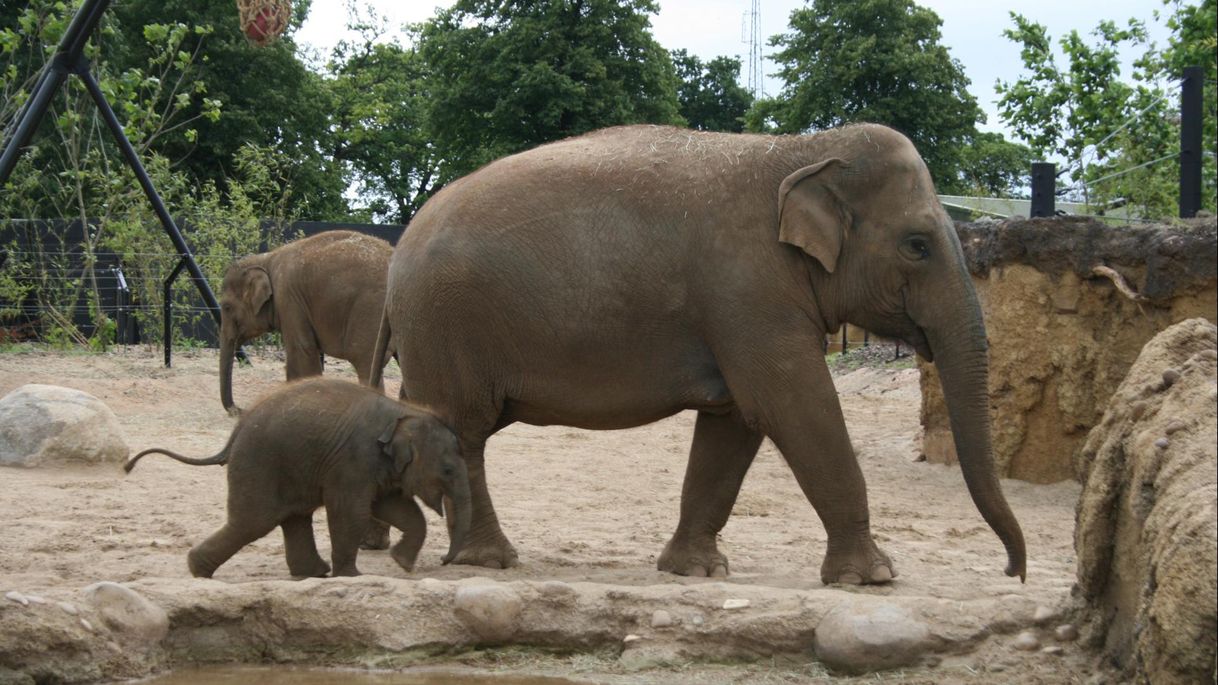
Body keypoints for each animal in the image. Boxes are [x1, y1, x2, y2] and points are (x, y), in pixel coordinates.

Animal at [126, 375, 470, 577]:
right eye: (448, 470)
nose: (444, 561)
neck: (403, 412)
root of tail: (235, 433)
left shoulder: (376, 467)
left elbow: (395, 508)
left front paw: (402, 563)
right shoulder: (353, 461)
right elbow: (352, 512)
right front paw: (352, 577)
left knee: (292, 517)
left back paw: (313, 573)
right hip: (259, 464)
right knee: (252, 522)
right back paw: (198, 570)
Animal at [218, 229, 389, 414]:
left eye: (226, 307)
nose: (238, 409)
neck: (266, 259)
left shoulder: (288, 299)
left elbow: (301, 351)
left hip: (370, 311)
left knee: (366, 363)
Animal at [370, 122, 1027, 580]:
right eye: (918, 245)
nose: (1013, 572)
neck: (800, 150)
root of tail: (399, 251)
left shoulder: (742, 309)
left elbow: (734, 423)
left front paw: (695, 571)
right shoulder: (749, 291)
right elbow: (794, 406)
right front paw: (874, 578)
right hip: (447, 323)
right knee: (463, 429)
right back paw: (487, 561)